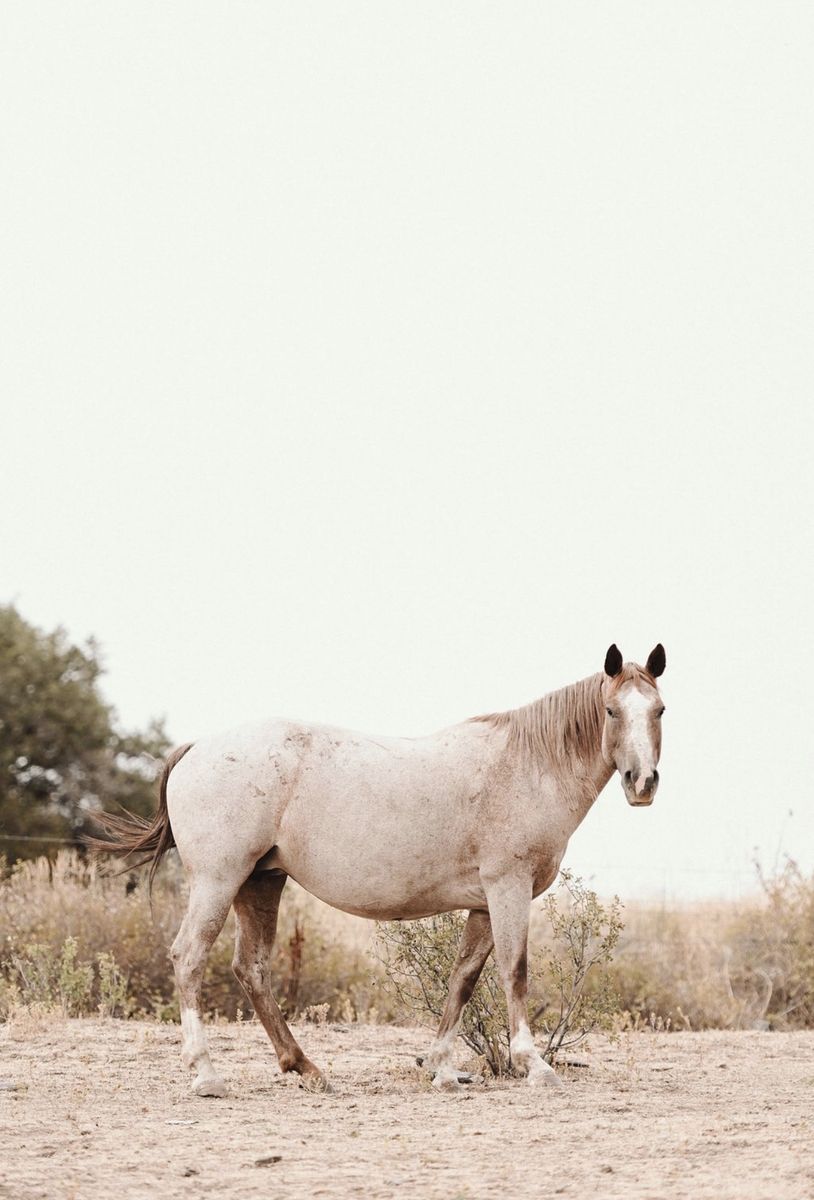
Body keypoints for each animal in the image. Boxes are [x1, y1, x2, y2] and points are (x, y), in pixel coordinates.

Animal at [93, 643, 666, 1094]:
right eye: (611, 711)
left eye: (659, 709)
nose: (642, 783)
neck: (527, 765)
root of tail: (198, 748)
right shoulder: (508, 887)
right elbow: (514, 970)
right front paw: (534, 1064)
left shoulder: (483, 903)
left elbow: (463, 978)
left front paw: (440, 1068)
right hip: (219, 881)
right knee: (189, 958)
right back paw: (207, 1074)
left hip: (260, 883)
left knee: (250, 968)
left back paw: (305, 1067)